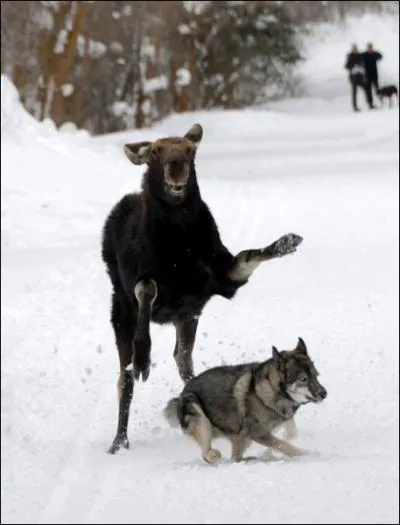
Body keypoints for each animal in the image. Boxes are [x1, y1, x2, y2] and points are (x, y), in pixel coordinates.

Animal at [101, 121, 302, 452]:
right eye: (155, 150)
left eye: (191, 151)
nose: (176, 166)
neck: (179, 244)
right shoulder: (138, 282)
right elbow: (147, 289)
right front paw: (144, 355)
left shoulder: (219, 280)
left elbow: (250, 255)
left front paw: (285, 242)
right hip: (121, 314)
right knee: (125, 379)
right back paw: (119, 440)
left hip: (187, 320)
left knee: (184, 364)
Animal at [164, 338, 326, 460]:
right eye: (303, 379)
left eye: (316, 375)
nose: (324, 393)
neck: (270, 389)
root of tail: (181, 394)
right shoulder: (257, 433)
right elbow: (284, 445)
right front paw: (308, 454)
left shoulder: (281, 420)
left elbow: (291, 434)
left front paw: (269, 452)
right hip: (196, 409)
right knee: (208, 454)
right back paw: (214, 455)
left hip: (238, 437)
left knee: (235, 458)